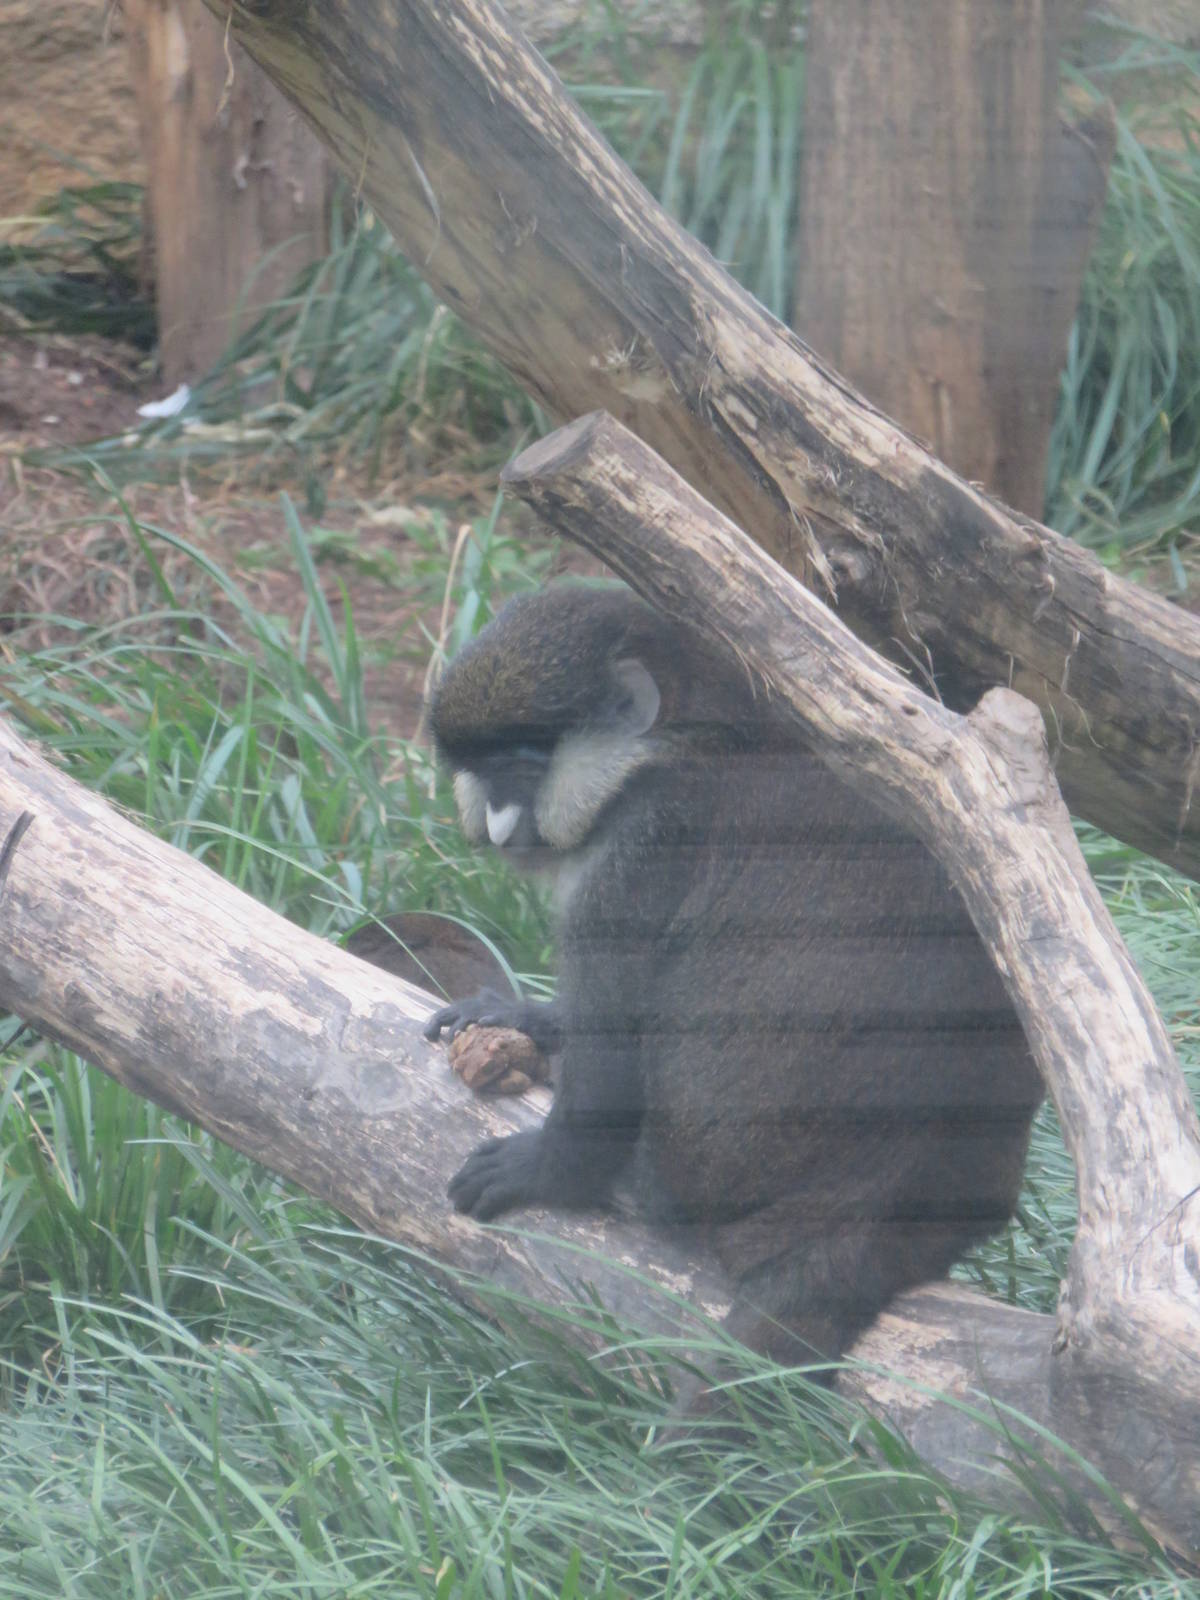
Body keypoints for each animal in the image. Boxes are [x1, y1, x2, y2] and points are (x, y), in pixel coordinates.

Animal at [424, 584, 1044, 1372]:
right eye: (483, 766)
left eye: (526, 764)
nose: (502, 828)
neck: (674, 739)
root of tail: (885, 1198)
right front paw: (525, 1016)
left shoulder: (639, 845)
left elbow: (609, 1052)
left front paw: (547, 1168)